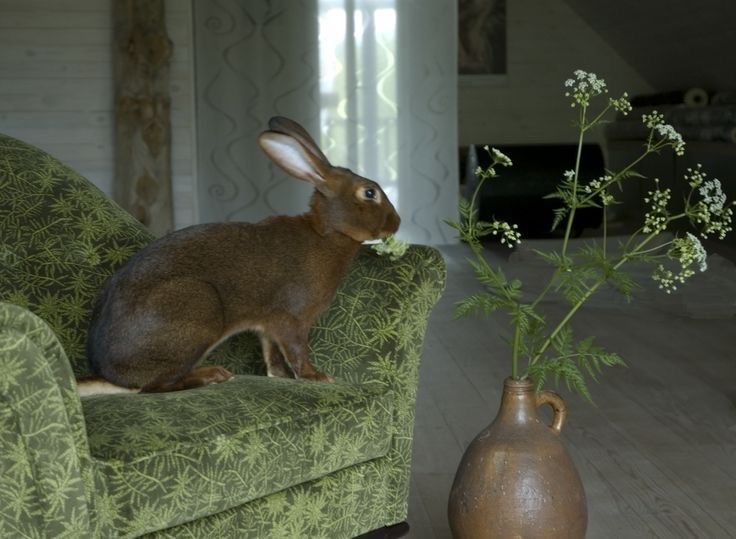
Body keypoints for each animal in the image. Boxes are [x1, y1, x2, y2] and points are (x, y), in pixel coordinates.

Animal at [79, 116, 400, 394]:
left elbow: (272, 355)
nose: (396, 223)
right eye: (369, 193)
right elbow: (297, 350)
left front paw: (279, 377)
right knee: (156, 385)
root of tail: (111, 374)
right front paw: (317, 377)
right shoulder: (291, 319)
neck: (325, 232)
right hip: (196, 306)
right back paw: (212, 375)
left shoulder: (268, 326)